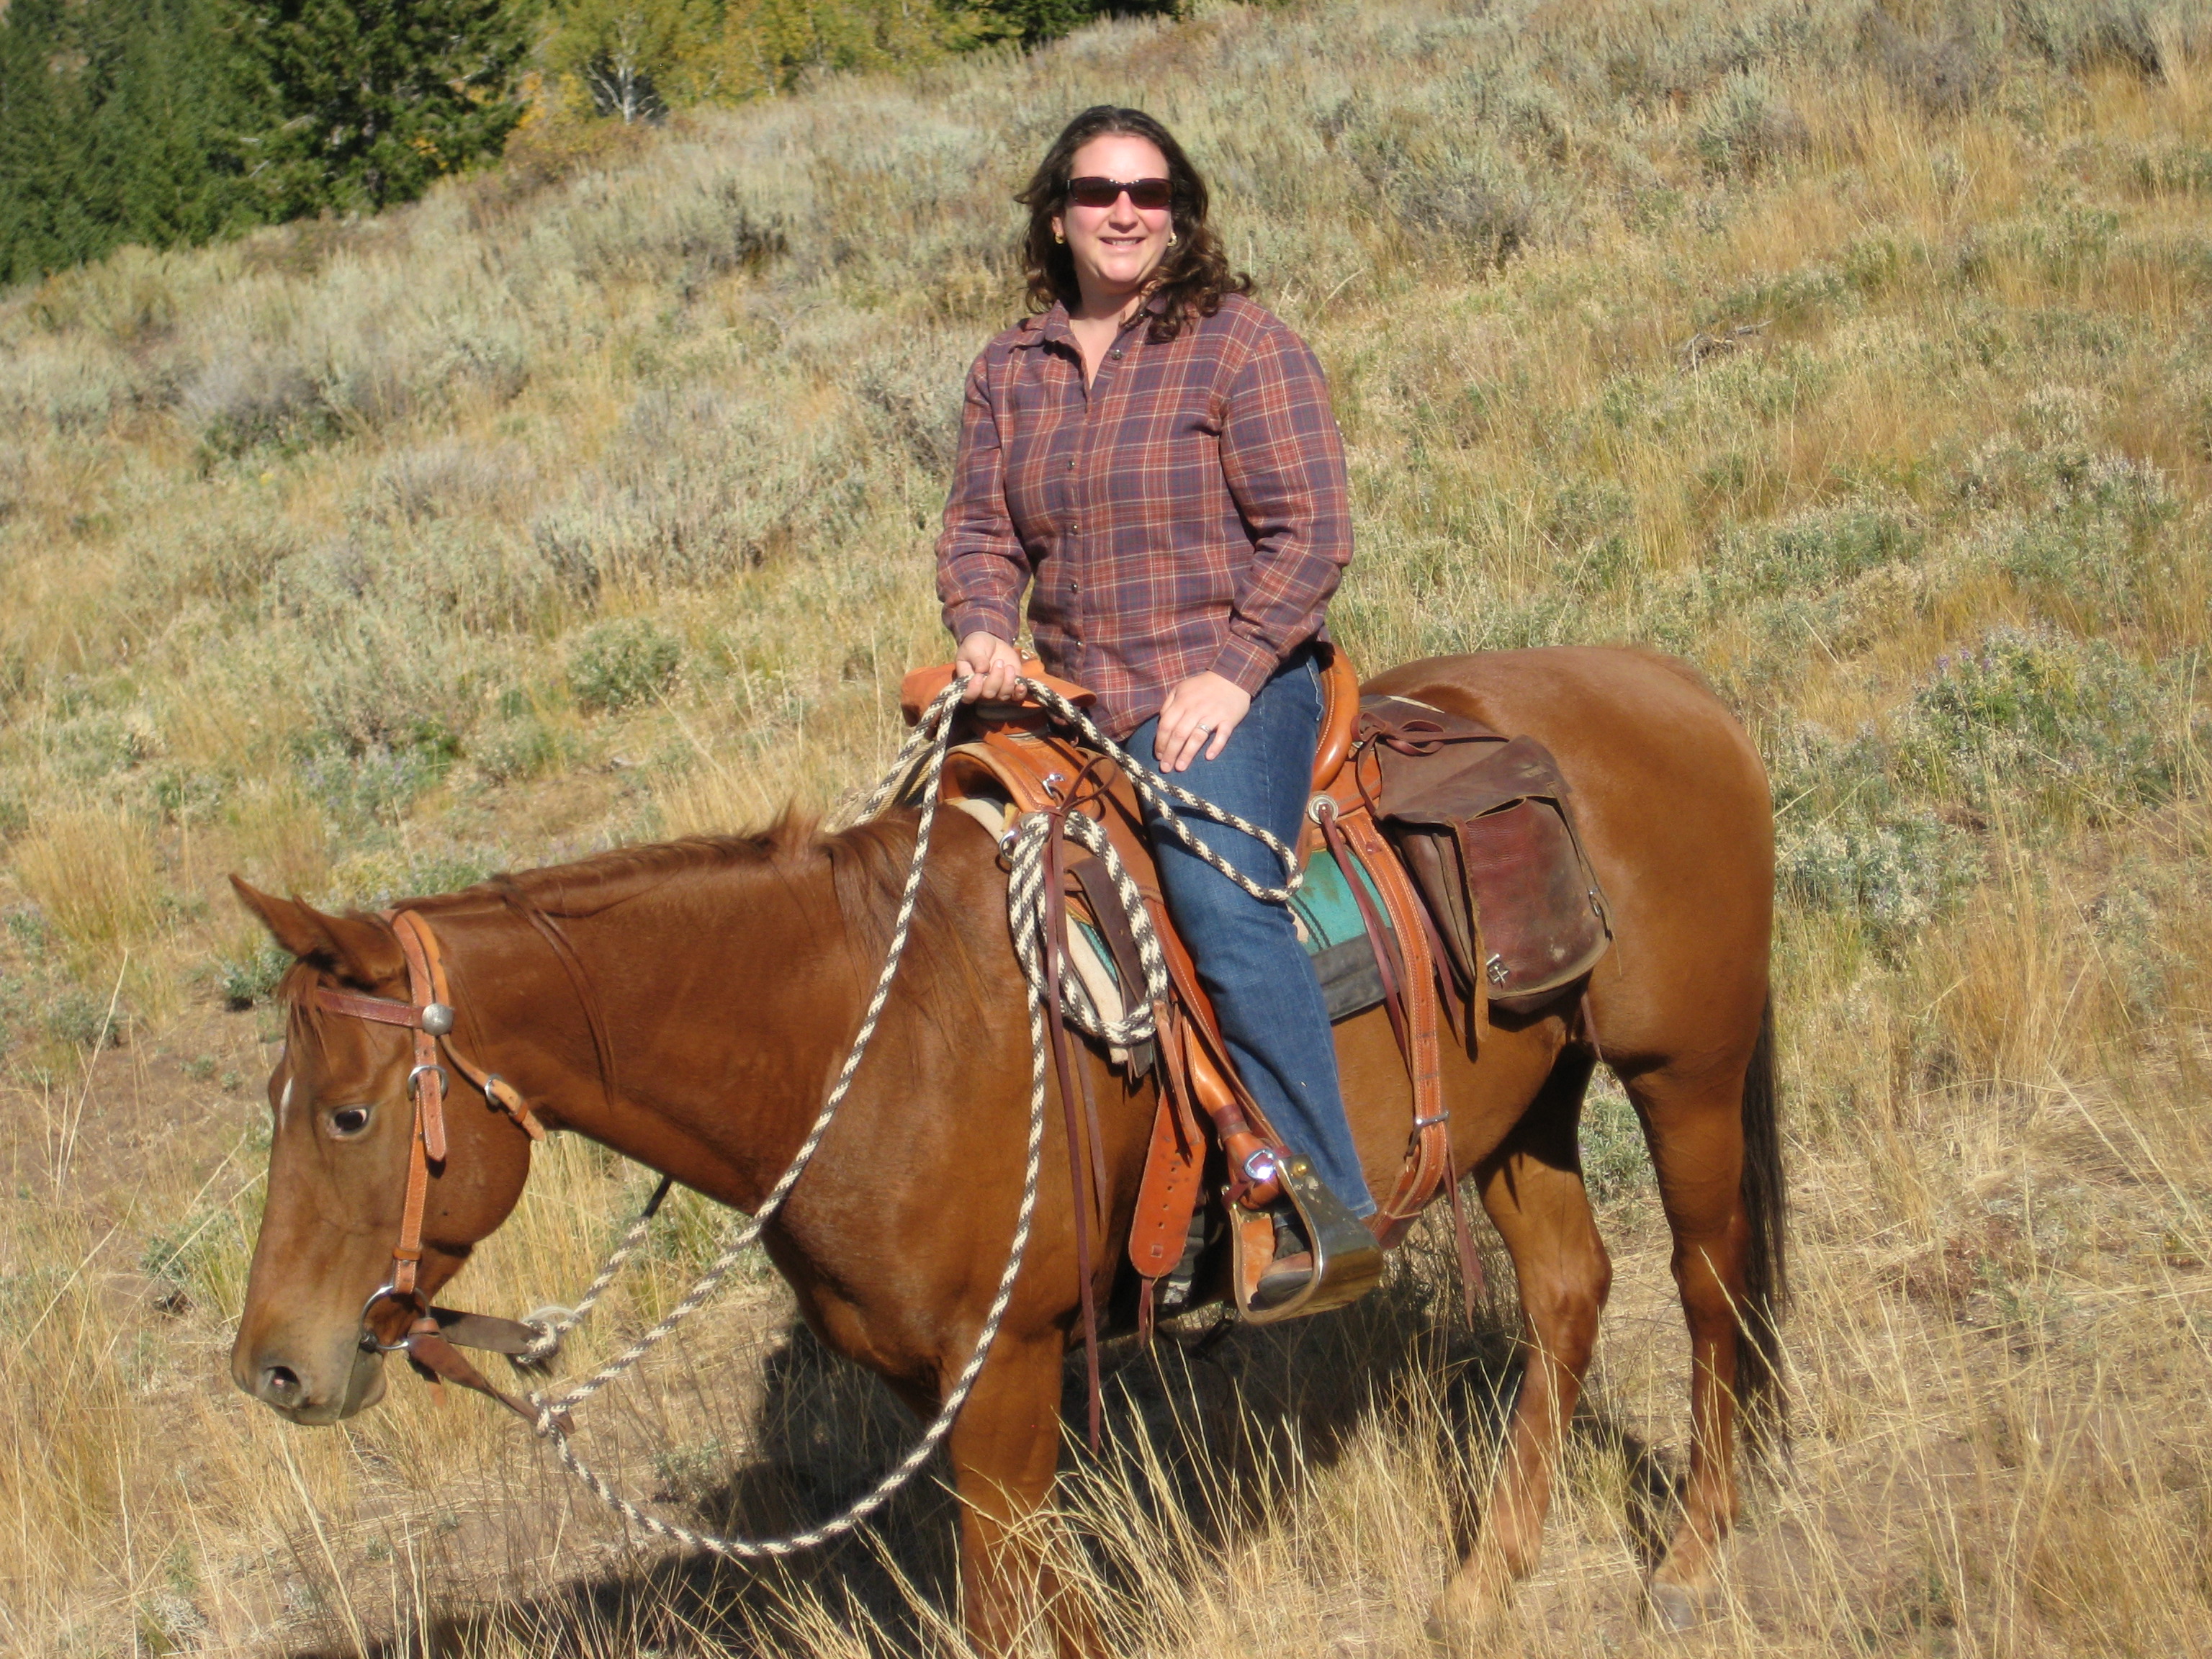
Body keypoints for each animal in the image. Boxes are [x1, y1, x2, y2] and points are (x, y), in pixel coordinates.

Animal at [228, 650, 1778, 1654]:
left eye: (350, 1113)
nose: (274, 1366)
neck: (864, 1039)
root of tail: (1676, 687)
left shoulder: (1010, 1372)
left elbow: (1003, 1608)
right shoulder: (955, 1395)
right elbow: (1048, 1606)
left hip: (1684, 1073)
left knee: (1710, 1287)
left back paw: (1695, 1559)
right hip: (1526, 1109)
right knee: (1569, 1292)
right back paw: (1478, 1585)